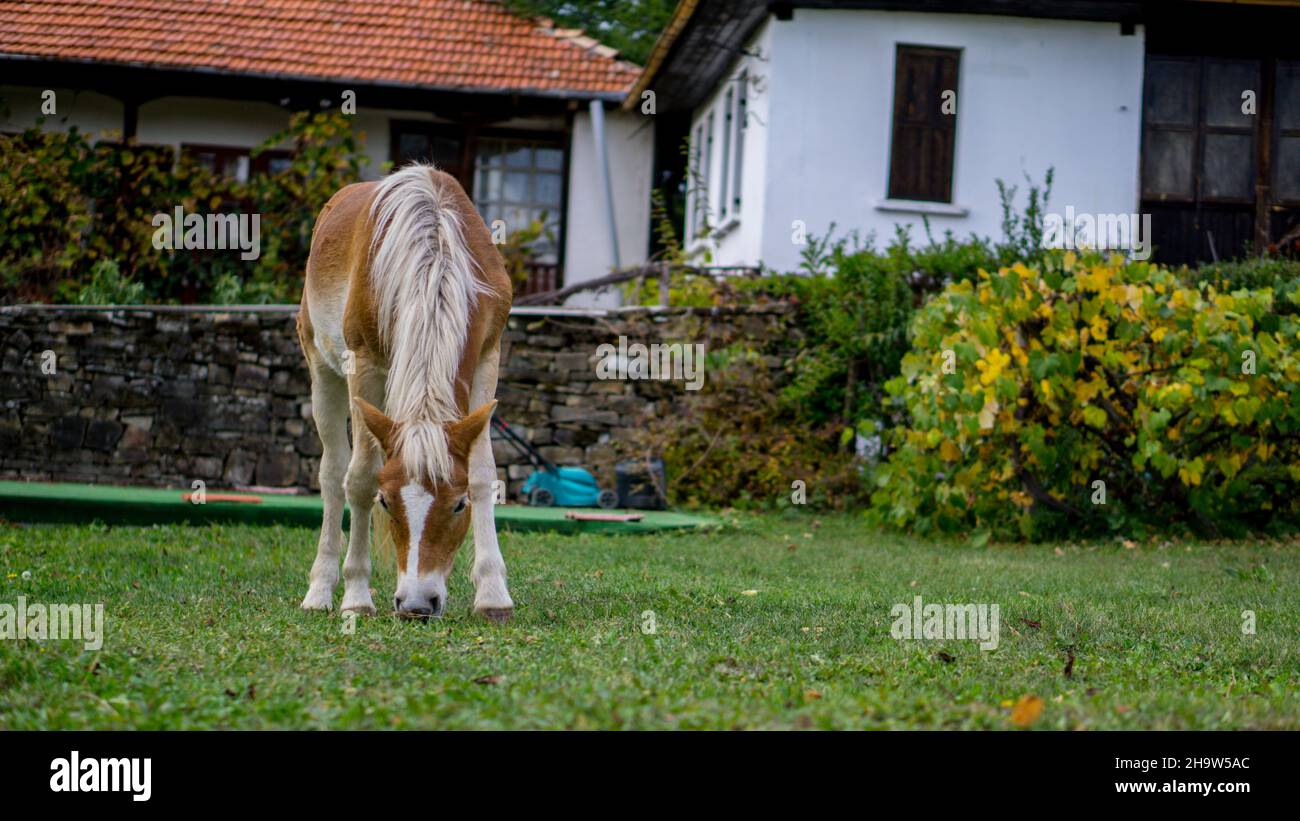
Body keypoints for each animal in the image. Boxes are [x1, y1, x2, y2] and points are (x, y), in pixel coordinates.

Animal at [297, 161, 514, 620]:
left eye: (459, 504)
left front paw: (493, 594)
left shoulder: (487, 357)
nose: (417, 603)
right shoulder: (363, 364)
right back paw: (321, 589)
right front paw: (356, 596)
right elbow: (360, 477)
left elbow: (483, 472)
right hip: (321, 368)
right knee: (333, 473)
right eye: (386, 502)